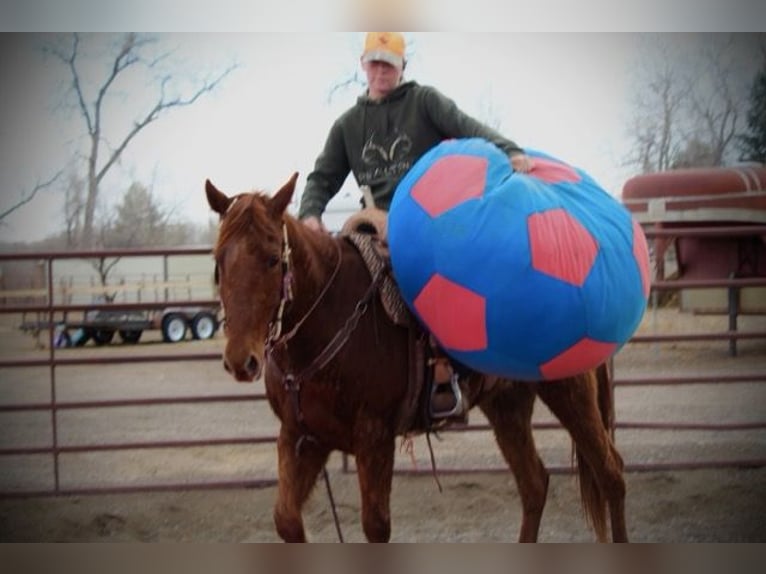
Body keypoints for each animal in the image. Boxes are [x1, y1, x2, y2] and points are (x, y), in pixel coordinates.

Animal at [206, 173, 632, 544]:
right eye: (218, 260)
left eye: (272, 259)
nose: (241, 360)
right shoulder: (301, 436)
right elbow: (286, 521)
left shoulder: (374, 437)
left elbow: (376, 526)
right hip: (507, 404)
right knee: (534, 484)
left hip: (570, 391)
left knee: (611, 474)